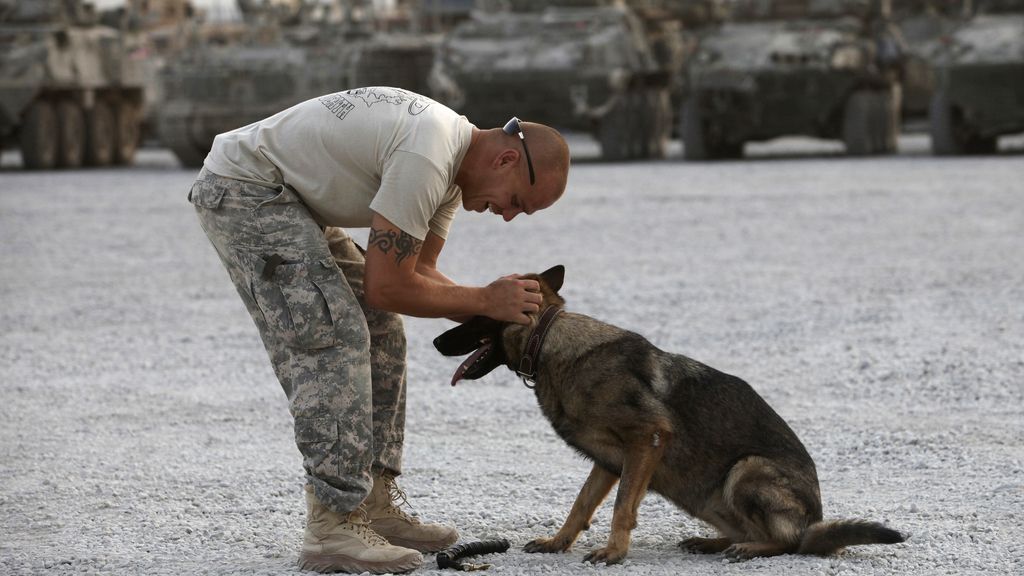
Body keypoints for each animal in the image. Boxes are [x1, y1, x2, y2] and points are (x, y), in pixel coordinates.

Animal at [432, 266, 905, 561]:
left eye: (474, 312)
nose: (435, 341)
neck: (550, 340)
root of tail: (816, 521)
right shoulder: (609, 462)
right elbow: (581, 505)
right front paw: (558, 542)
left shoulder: (647, 440)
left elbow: (622, 507)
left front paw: (615, 552)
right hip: (709, 496)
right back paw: (714, 543)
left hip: (745, 470)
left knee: (790, 542)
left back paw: (751, 550)